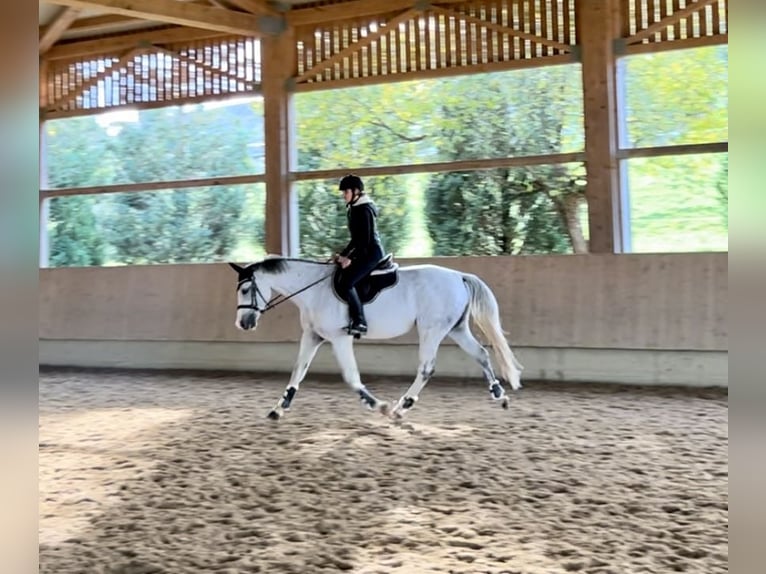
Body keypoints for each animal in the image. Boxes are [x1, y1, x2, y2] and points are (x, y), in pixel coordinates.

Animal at [231, 258, 524, 420]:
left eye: (245, 290)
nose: (243, 324)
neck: (314, 289)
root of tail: (458, 276)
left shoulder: (339, 338)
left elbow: (351, 377)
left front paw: (378, 405)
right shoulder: (313, 336)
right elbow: (297, 372)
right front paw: (279, 409)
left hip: (432, 330)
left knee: (426, 368)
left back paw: (401, 407)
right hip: (456, 329)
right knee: (481, 354)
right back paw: (499, 395)